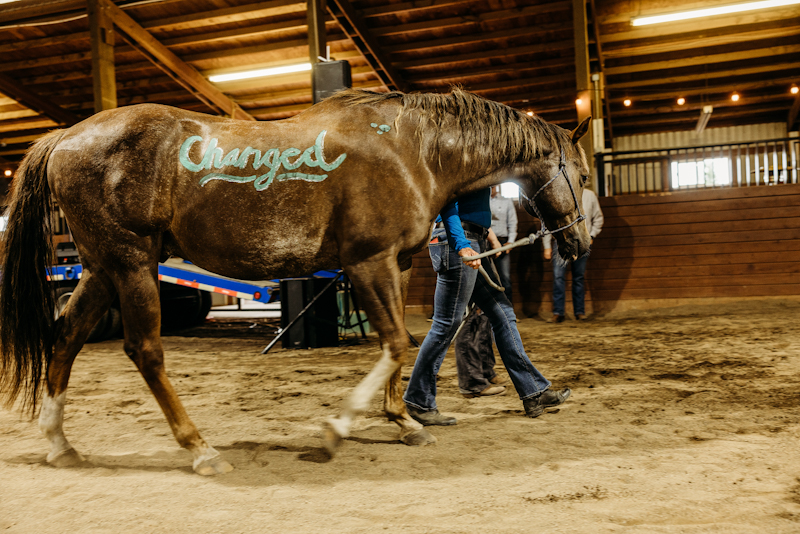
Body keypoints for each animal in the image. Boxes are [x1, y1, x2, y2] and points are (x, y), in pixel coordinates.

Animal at [0, 88, 591, 475]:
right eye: (583, 174)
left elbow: (400, 346)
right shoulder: (368, 262)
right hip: (132, 264)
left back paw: (60, 445)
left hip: (102, 269)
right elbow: (395, 343)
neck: (412, 150)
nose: (579, 244)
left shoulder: (395, 264)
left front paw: (405, 421)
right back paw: (200, 449)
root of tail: (66, 138)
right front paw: (337, 431)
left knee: (65, 338)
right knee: (144, 351)